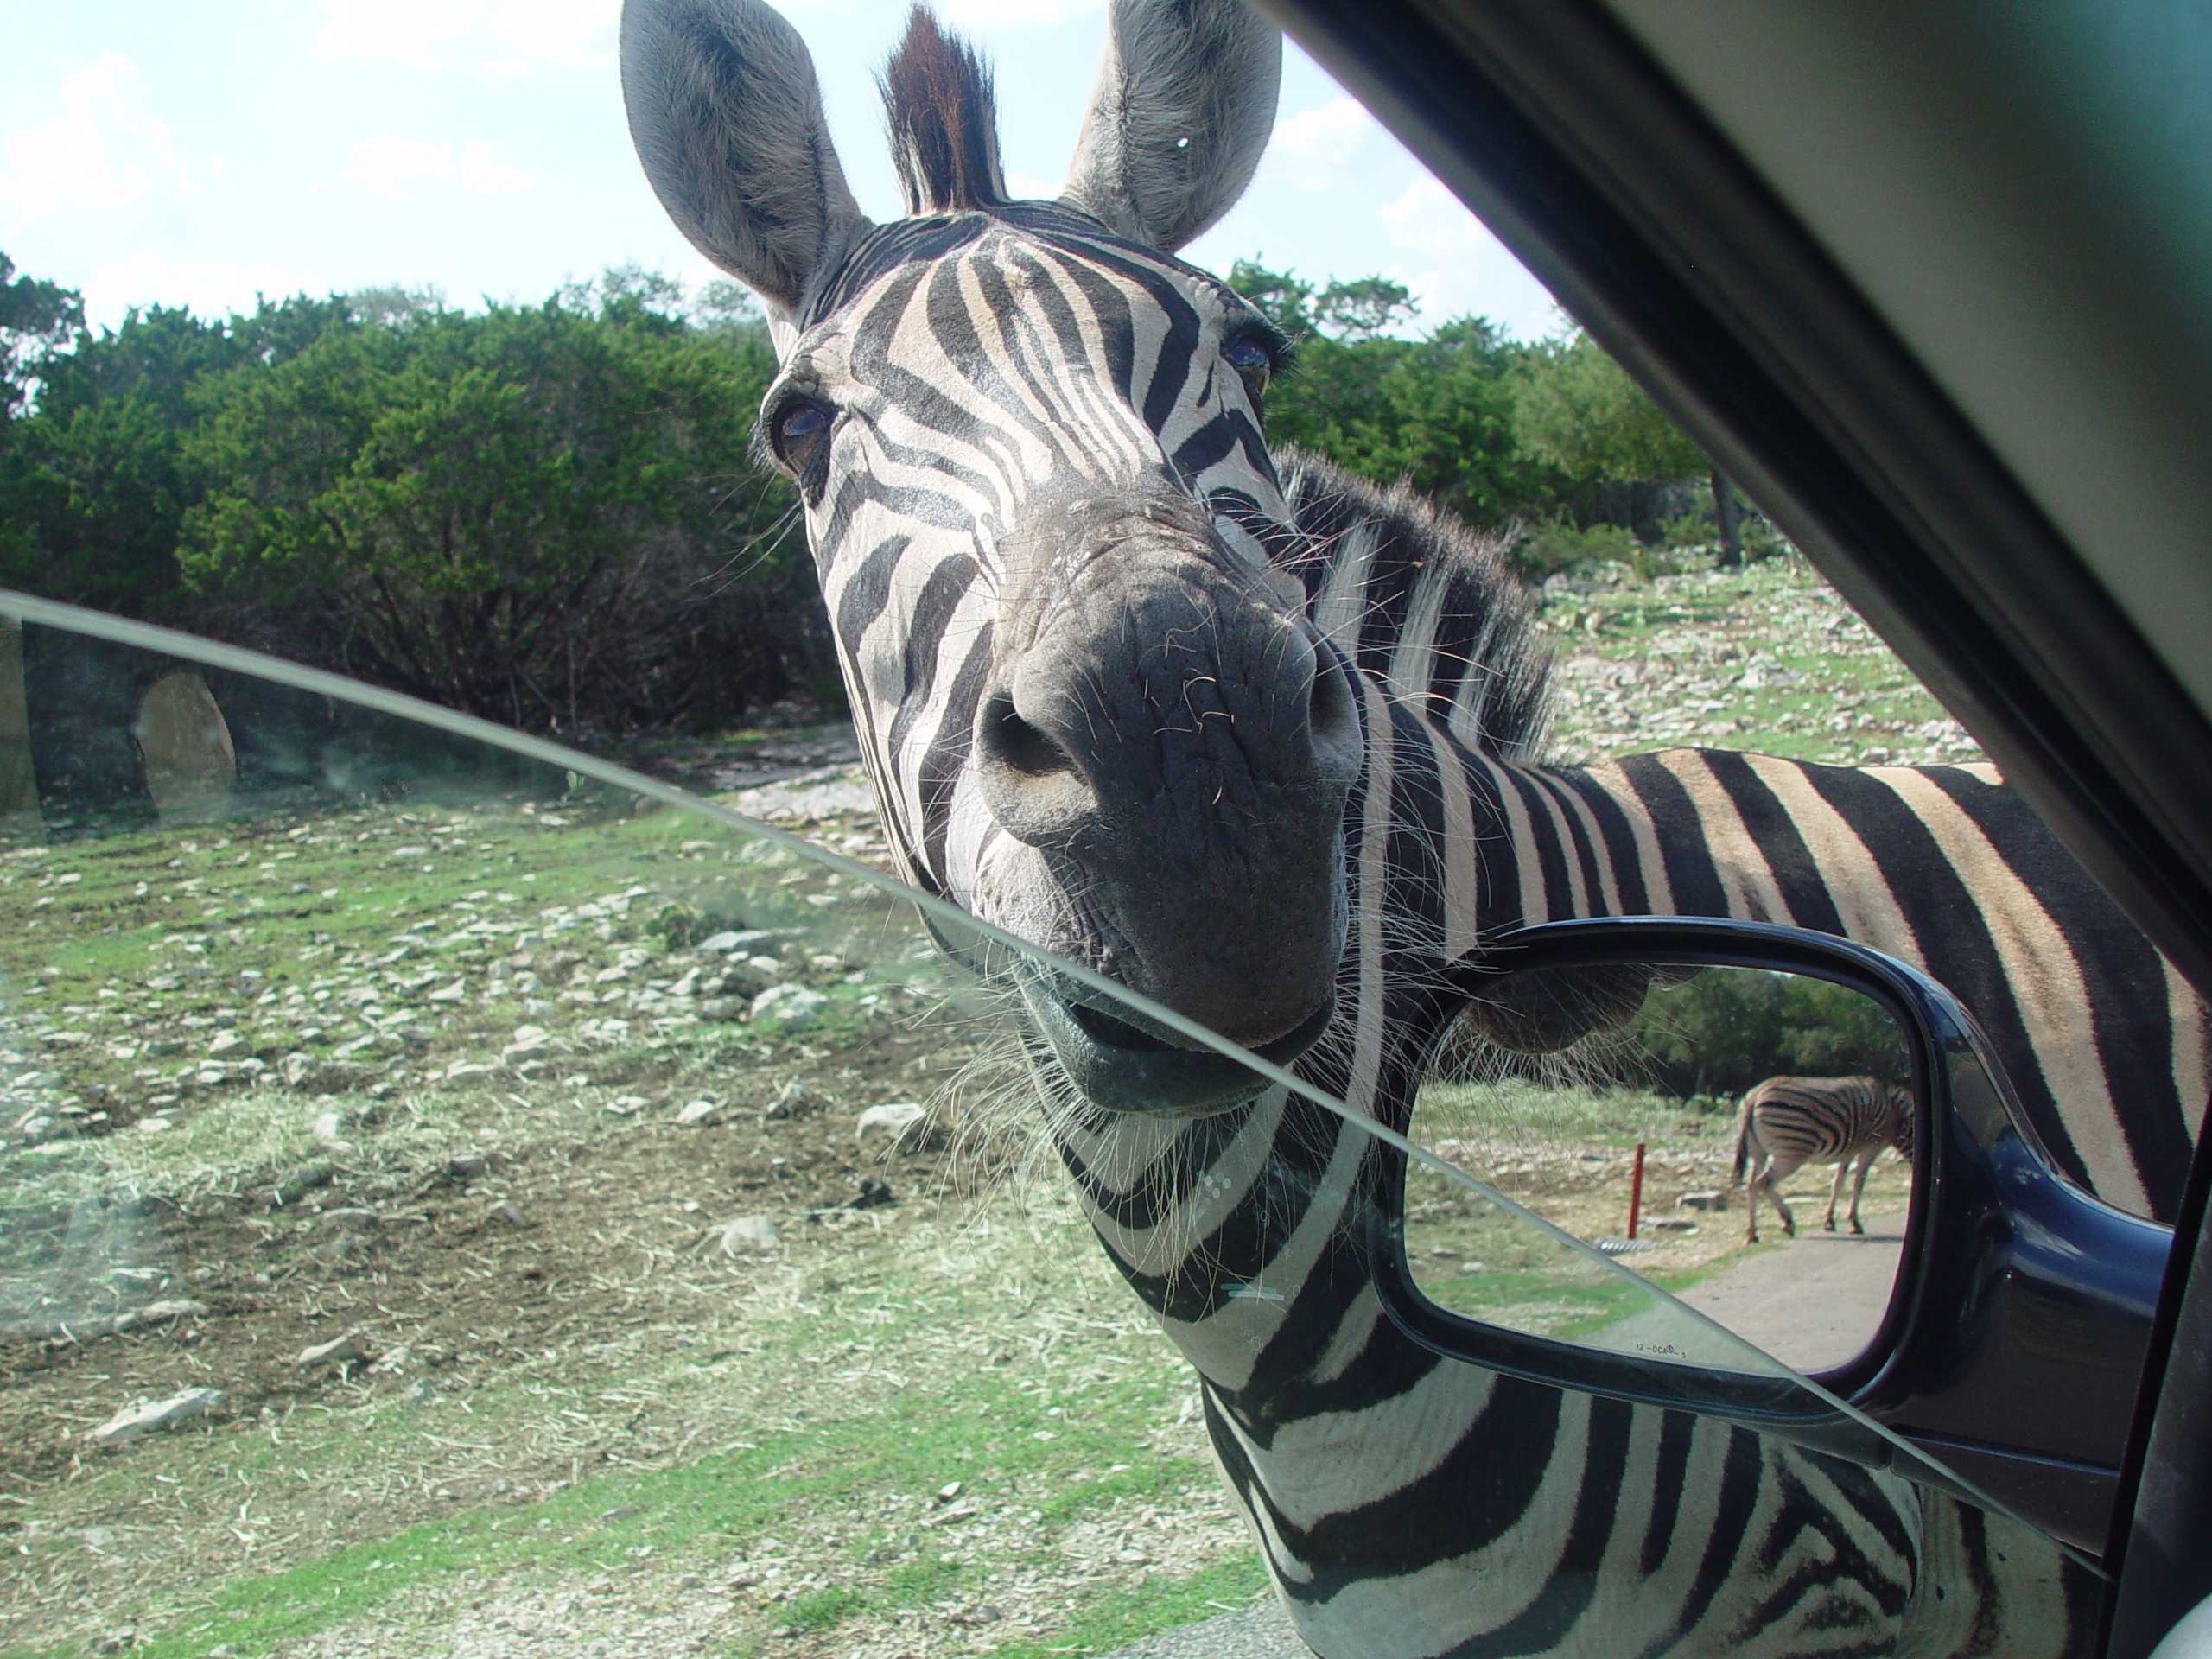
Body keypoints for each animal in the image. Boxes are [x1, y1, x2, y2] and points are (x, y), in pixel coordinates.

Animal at [1734, 1079, 1910, 1247]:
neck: (1897, 1115)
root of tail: (1756, 1094)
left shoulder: (1848, 1151)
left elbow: (1838, 1183)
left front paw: (1829, 1221)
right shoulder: (1873, 1145)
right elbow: (1859, 1182)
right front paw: (1854, 1223)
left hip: (1758, 1151)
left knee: (1751, 1185)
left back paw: (1752, 1234)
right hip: (1791, 1152)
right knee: (1763, 1182)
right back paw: (1787, 1222)